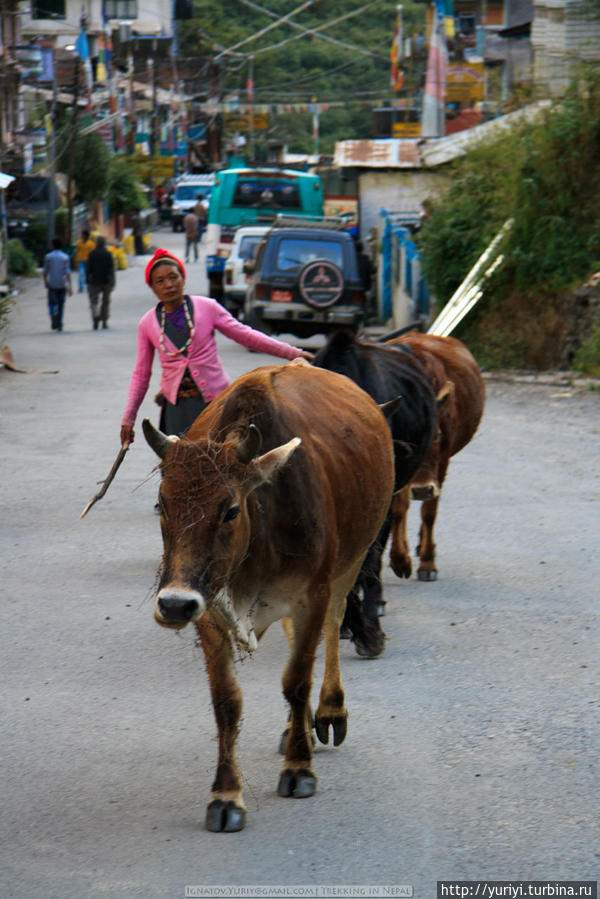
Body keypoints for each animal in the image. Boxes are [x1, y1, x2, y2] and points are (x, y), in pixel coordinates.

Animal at [140, 362, 394, 832]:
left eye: (230, 509)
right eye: (161, 505)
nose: (174, 605)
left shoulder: (313, 593)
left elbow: (296, 680)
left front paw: (299, 768)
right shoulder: (209, 610)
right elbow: (226, 701)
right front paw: (225, 796)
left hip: (351, 561)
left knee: (333, 628)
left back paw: (327, 713)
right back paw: (300, 726)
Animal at [386, 334, 486, 580]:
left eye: (437, 435)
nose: (422, 489)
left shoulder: (443, 461)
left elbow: (429, 511)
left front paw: (428, 562)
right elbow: (399, 508)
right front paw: (399, 559)